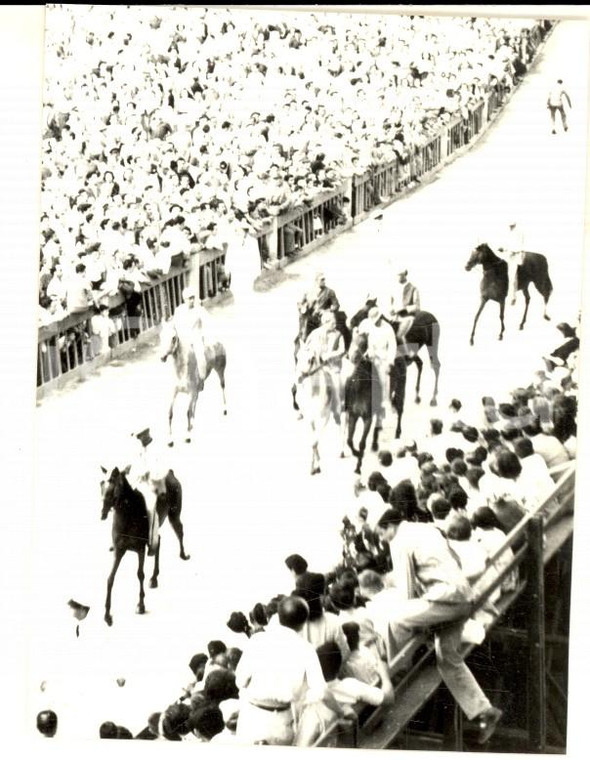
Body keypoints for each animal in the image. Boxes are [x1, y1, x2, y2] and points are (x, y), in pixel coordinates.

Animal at [100, 466, 190, 628]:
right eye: (101, 484)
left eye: (112, 483)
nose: (103, 513)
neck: (128, 514)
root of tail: (171, 474)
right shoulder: (119, 551)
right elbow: (110, 578)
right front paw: (107, 615)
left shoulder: (140, 549)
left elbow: (140, 574)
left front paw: (141, 606)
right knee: (159, 541)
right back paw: (154, 578)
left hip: (174, 513)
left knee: (179, 531)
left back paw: (183, 555)